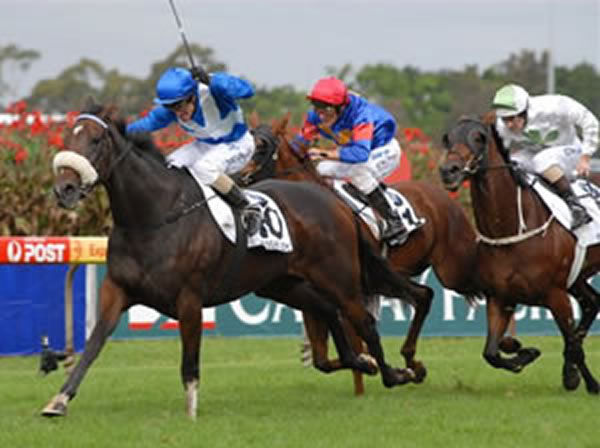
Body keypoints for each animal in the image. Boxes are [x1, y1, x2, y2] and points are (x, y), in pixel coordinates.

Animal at [44, 103, 428, 418]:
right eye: (68, 137)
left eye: (96, 140)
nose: (64, 189)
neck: (154, 216)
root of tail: (335, 202)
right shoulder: (117, 290)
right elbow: (94, 344)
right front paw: (58, 400)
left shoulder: (189, 299)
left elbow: (190, 361)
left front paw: (191, 413)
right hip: (282, 284)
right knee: (329, 310)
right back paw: (363, 362)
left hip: (340, 277)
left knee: (366, 320)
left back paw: (398, 372)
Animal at [237, 116, 486, 396]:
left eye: (261, 146)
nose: (238, 176)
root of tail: (443, 196)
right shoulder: (315, 295)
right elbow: (323, 360)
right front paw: (369, 367)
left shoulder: (346, 290)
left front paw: (370, 373)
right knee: (423, 296)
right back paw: (413, 364)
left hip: (451, 270)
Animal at [436, 114, 600, 394]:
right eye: (448, 138)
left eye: (479, 138)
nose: (450, 171)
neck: (509, 231)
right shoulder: (499, 298)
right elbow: (491, 352)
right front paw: (526, 353)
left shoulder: (556, 295)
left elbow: (573, 345)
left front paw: (587, 381)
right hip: (577, 278)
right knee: (592, 303)